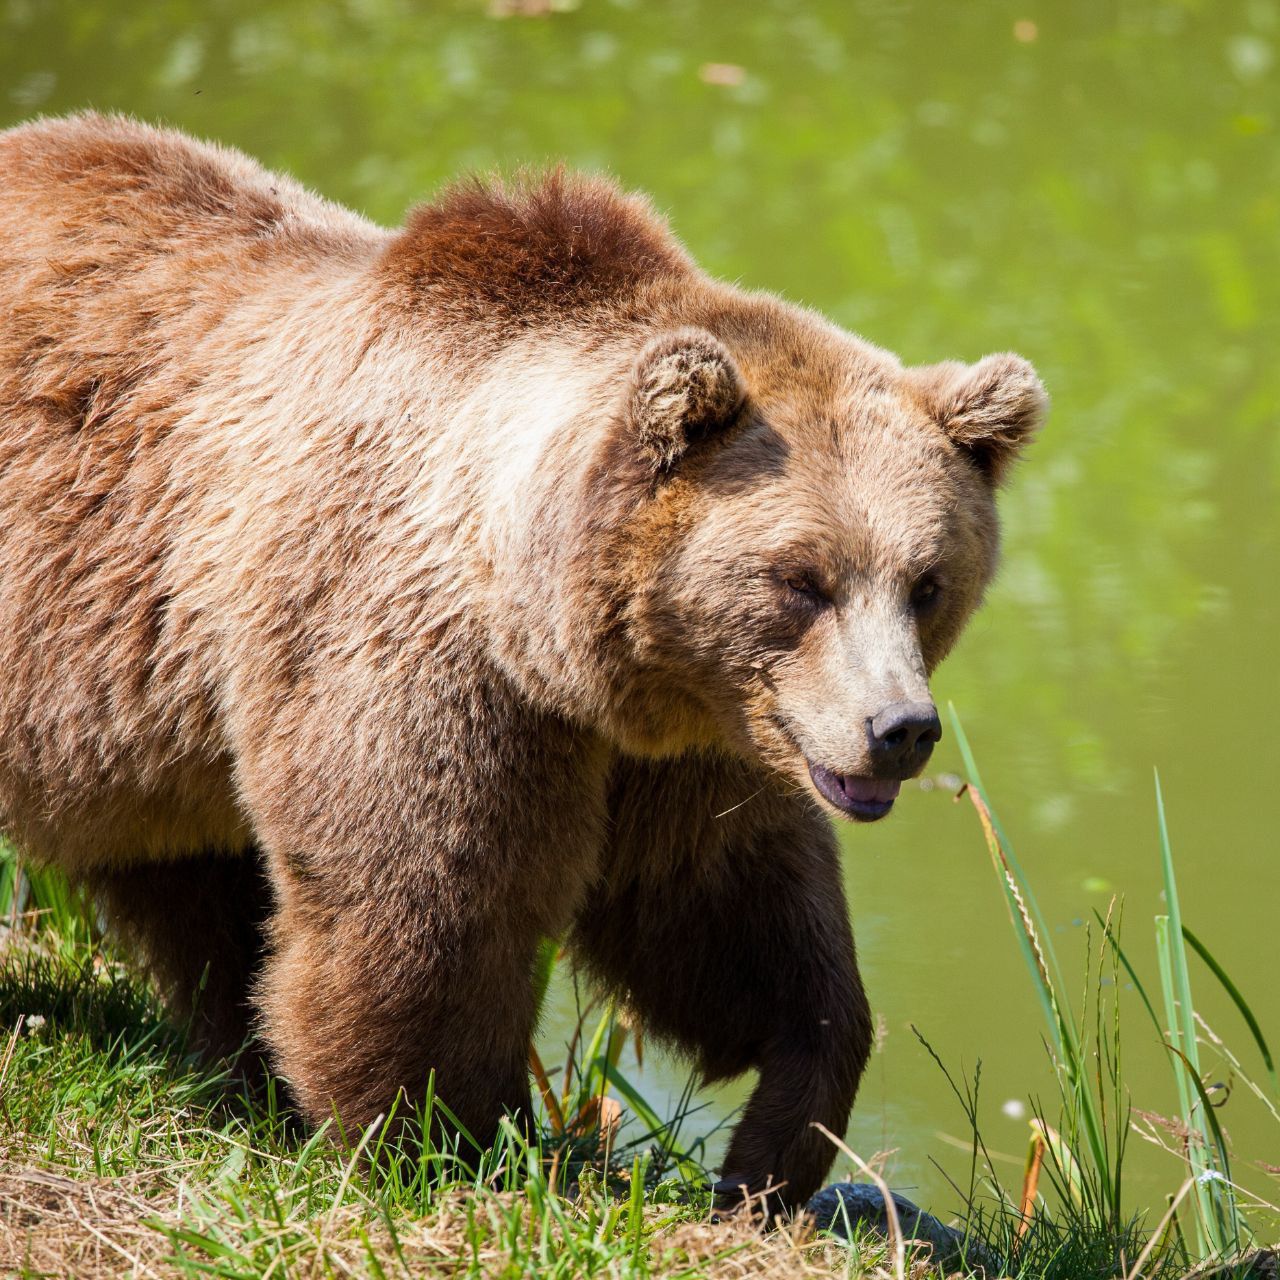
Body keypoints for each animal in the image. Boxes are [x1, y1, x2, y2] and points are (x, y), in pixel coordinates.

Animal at [0, 110, 1044, 1208]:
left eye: (926, 581)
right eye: (801, 579)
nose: (899, 727)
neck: (551, 633)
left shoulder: (687, 739)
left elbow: (721, 909)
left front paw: (774, 1143)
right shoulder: (419, 657)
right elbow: (426, 905)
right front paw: (438, 1140)